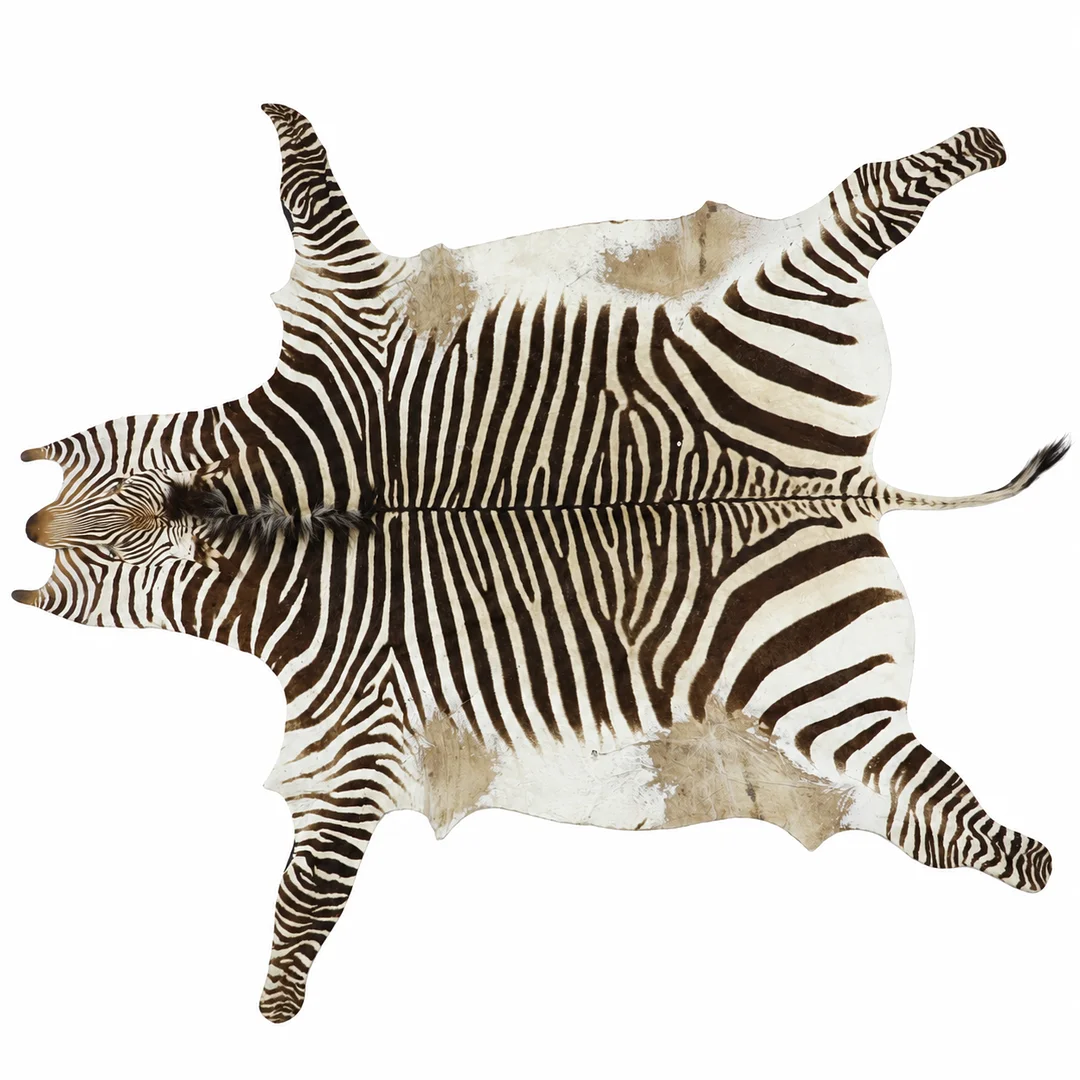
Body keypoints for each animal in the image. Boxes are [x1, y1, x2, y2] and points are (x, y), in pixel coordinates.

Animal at [15, 105, 1066, 1023]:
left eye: (103, 566)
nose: (29, 528)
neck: (281, 506)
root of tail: (843, 483)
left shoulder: (354, 735)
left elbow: (310, 890)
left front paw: (277, 1001)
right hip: (818, 705)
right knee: (923, 801)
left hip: (773, 350)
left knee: (872, 190)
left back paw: (980, 145)